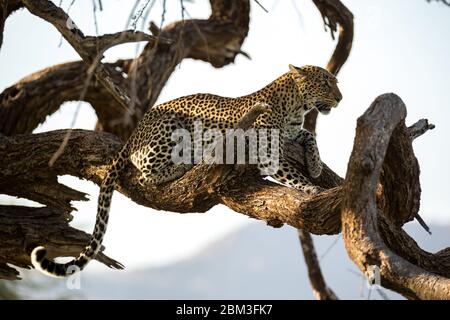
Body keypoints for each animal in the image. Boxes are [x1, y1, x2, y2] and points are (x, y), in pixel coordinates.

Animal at [30, 63, 342, 276]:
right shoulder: (265, 153)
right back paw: (188, 164)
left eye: (334, 83)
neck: (295, 108)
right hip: (172, 128)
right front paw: (312, 186)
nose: (340, 98)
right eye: (326, 84)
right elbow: (292, 175)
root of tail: (135, 131)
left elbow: (309, 136)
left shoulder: (293, 134)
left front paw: (315, 166)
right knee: (146, 173)